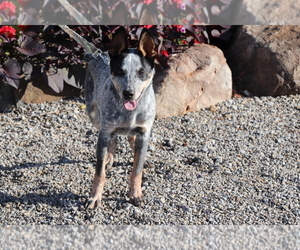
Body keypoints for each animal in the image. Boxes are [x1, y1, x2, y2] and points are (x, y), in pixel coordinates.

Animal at [82, 26, 156, 209]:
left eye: (141, 72)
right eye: (120, 72)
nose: (128, 93)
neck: (129, 113)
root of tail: (97, 54)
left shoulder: (144, 132)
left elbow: (137, 170)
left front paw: (135, 194)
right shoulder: (105, 132)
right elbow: (99, 173)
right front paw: (94, 197)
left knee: (131, 139)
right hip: (95, 117)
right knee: (112, 138)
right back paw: (109, 156)